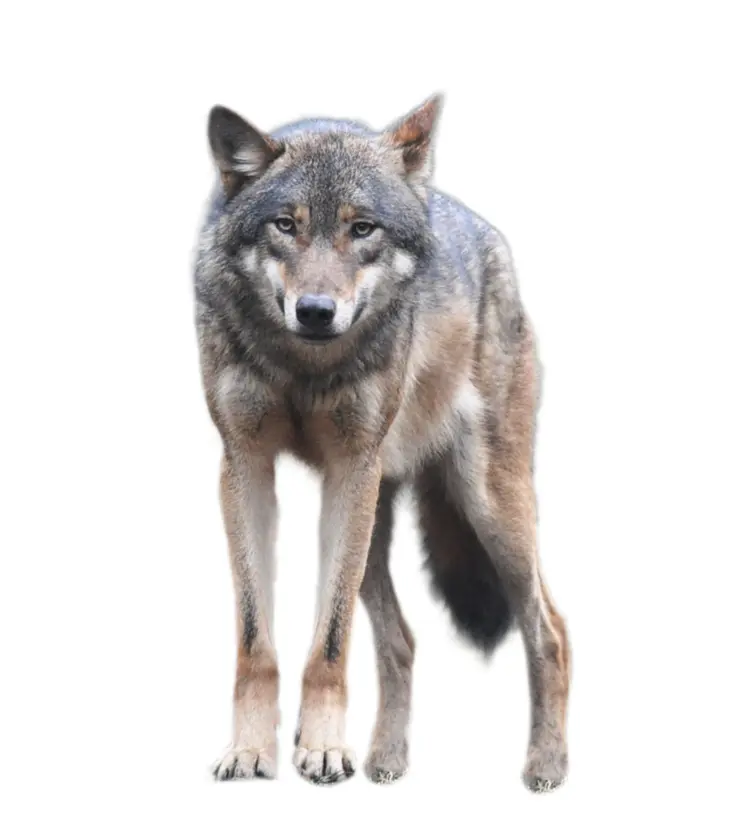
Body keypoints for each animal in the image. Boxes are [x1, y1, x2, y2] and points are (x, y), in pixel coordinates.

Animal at [193, 95, 570, 791]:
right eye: (285, 225)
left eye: (362, 229)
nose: (315, 311)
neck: (305, 369)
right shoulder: (244, 467)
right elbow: (257, 640)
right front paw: (253, 751)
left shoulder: (350, 470)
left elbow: (329, 641)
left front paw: (320, 749)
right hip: (373, 525)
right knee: (402, 642)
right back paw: (386, 760)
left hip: (485, 508)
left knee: (550, 629)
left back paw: (547, 765)